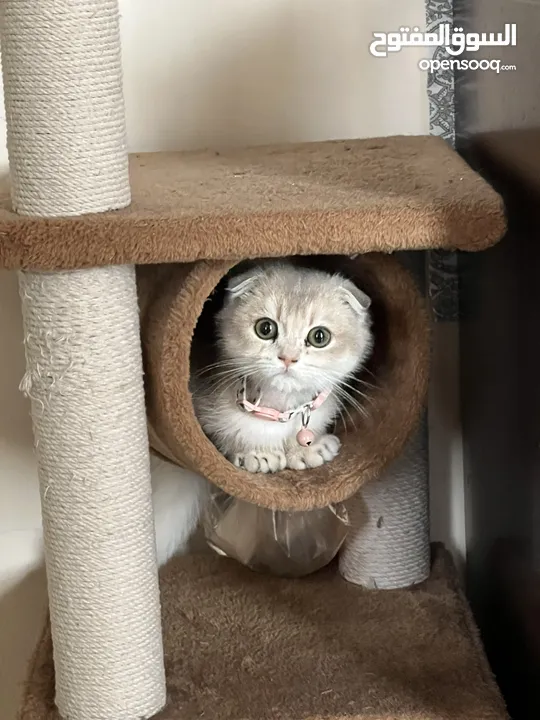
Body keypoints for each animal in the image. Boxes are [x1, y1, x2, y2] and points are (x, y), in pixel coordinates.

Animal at [150, 260, 374, 568]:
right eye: (265, 328)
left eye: (319, 337)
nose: (288, 358)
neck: (279, 410)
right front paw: (258, 454)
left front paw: (308, 448)